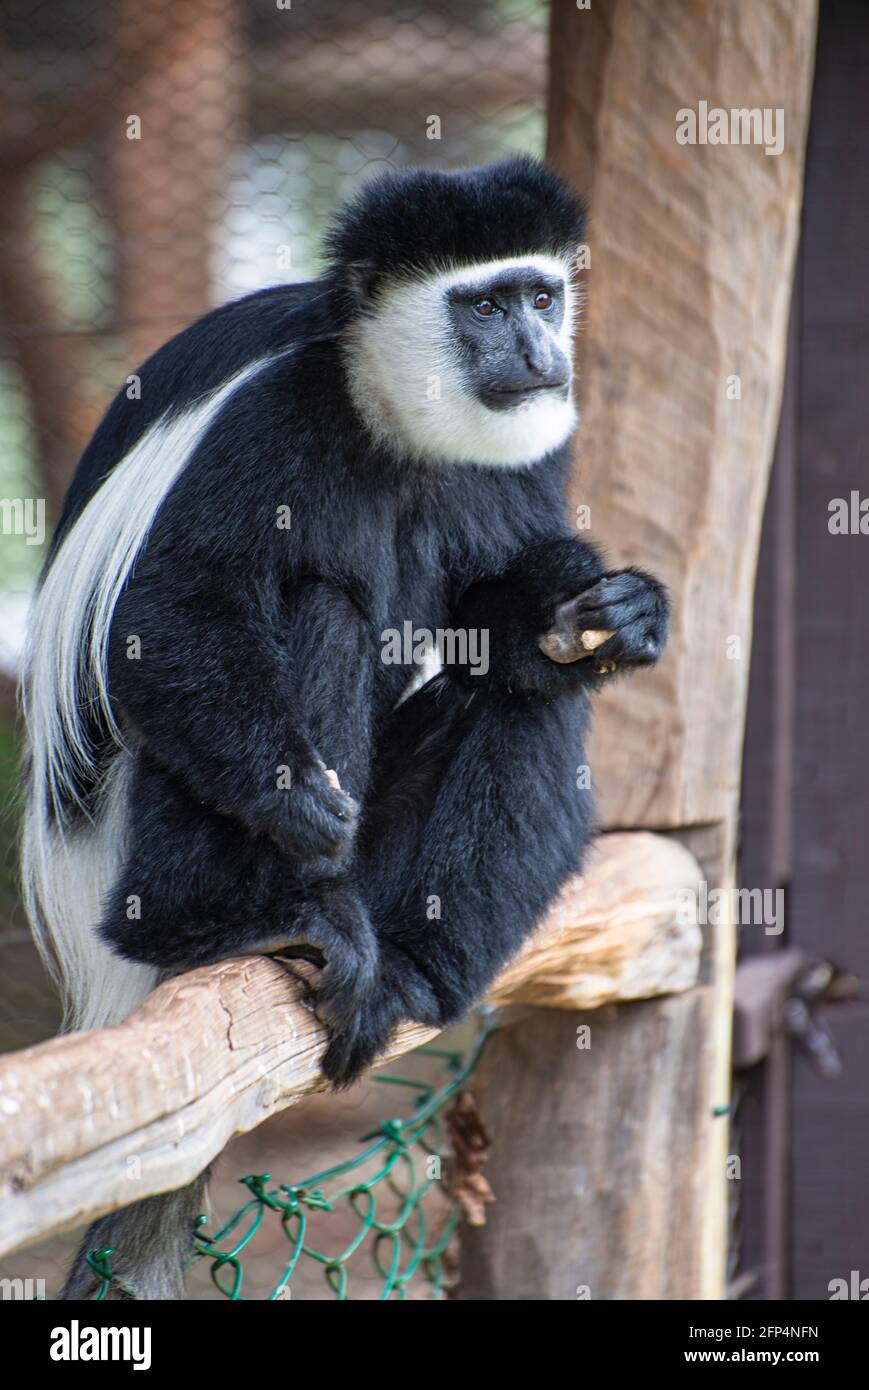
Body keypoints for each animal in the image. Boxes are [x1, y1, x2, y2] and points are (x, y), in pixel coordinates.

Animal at [22, 157, 670, 1295]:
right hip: (136, 858)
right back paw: (236, 918)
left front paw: (617, 612)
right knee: (310, 604)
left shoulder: (530, 449)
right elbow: (169, 613)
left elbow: (510, 632)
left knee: (523, 697)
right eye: (483, 305)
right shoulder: (272, 416)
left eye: (540, 295)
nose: (538, 352)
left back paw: (416, 971)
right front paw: (289, 799)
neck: (388, 418)